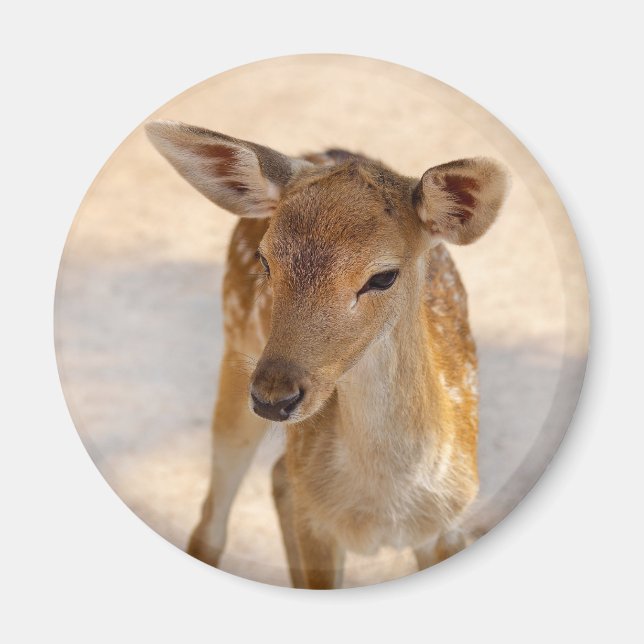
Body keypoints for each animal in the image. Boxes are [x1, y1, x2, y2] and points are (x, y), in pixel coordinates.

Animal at [146, 120, 508, 589]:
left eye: (383, 276)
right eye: (265, 261)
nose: (273, 397)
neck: (382, 508)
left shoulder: (449, 524)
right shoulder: (317, 524)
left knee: (278, 475)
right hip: (235, 348)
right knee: (214, 516)